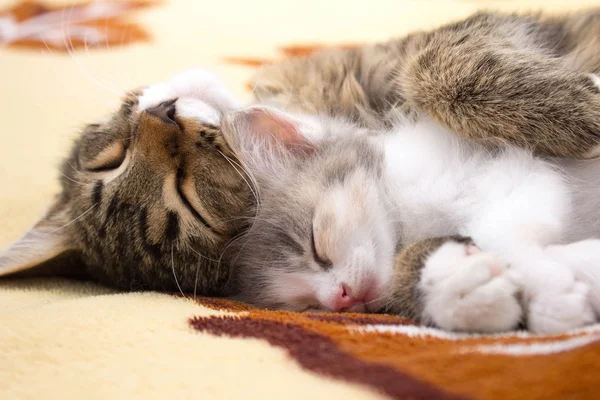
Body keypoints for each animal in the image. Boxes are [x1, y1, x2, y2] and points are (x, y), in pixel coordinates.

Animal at [223, 101, 600, 334]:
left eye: (317, 248)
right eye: (307, 306)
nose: (340, 297)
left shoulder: (520, 168)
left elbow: (504, 228)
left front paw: (551, 293)